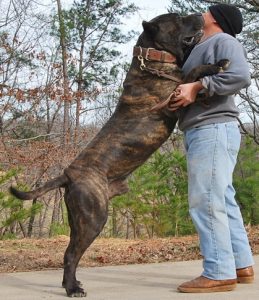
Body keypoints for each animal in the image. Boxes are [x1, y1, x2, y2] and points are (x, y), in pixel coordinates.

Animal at [10, 12, 230, 296]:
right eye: (178, 19)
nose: (199, 14)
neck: (153, 59)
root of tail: (68, 174)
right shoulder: (172, 98)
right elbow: (192, 73)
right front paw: (214, 66)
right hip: (94, 217)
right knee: (71, 255)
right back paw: (72, 288)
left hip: (78, 219)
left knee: (72, 250)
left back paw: (73, 283)